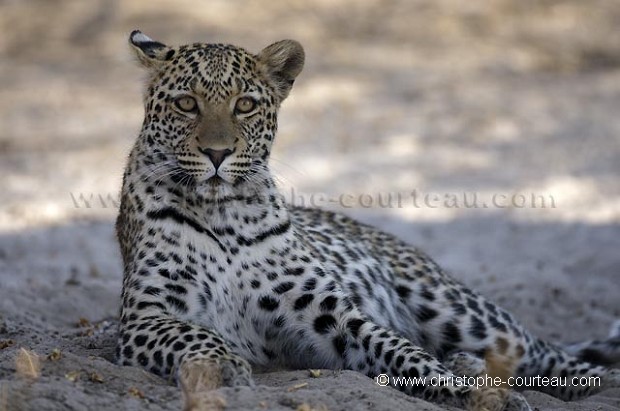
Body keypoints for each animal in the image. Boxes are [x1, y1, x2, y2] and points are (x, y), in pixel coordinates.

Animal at [117, 30, 620, 410]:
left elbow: (403, 352)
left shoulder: (331, 315)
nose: (217, 154)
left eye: (245, 105)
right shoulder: (146, 316)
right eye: (186, 103)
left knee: (546, 353)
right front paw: (221, 368)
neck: (223, 215)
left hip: (459, 309)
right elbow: (196, 335)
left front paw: (464, 393)